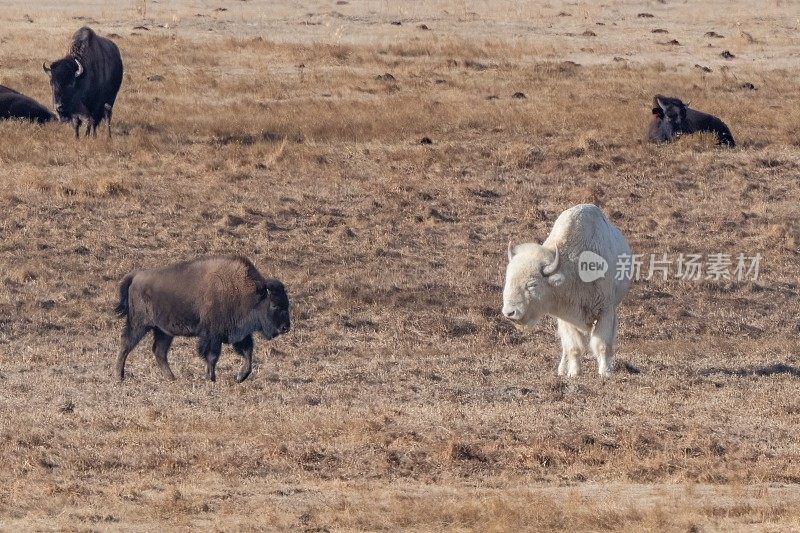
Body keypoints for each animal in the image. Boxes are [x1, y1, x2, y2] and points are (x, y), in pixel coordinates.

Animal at [112, 255, 288, 382]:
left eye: (287, 303)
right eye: (274, 304)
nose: (285, 327)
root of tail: (136, 276)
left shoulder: (240, 335)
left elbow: (248, 354)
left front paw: (239, 377)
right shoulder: (213, 336)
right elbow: (212, 356)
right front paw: (211, 378)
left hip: (163, 331)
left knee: (159, 352)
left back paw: (172, 378)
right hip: (139, 324)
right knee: (126, 344)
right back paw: (119, 375)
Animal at [504, 202, 636, 376]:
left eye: (533, 284)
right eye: (508, 278)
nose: (510, 313)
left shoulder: (605, 311)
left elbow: (602, 344)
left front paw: (605, 372)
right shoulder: (566, 317)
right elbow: (573, 347)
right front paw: (573, 373)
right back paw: (561, 369)